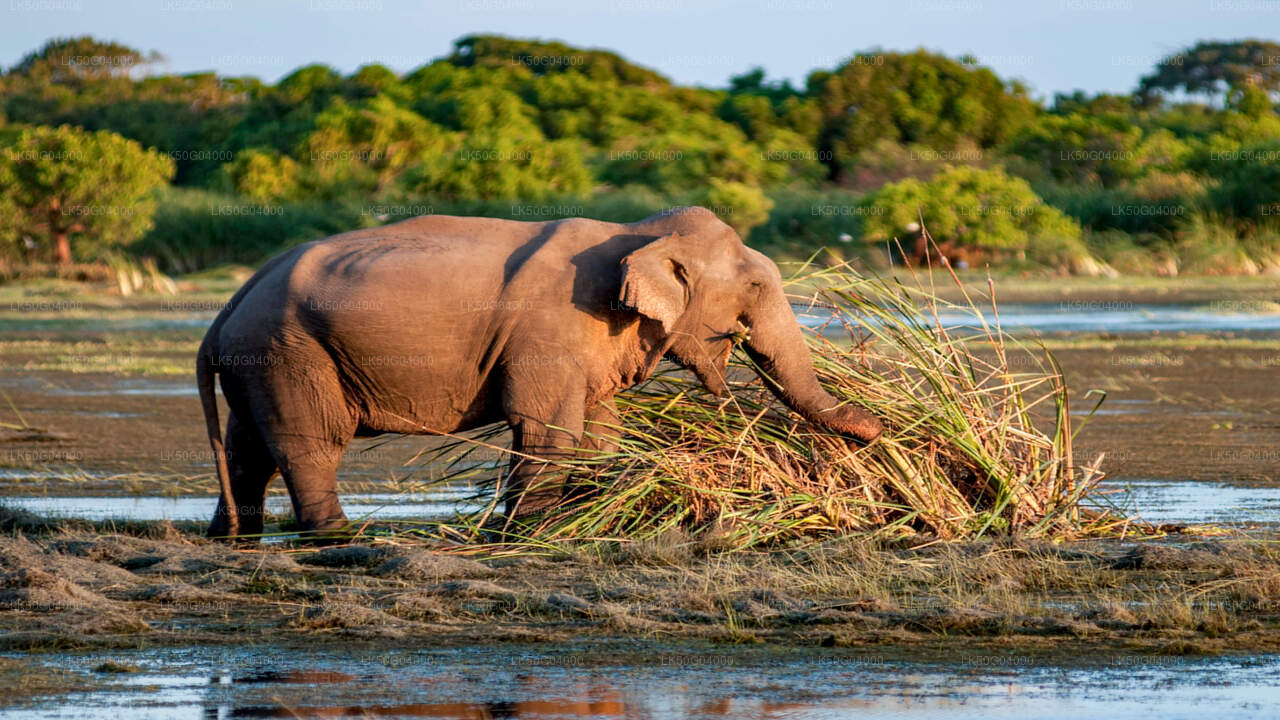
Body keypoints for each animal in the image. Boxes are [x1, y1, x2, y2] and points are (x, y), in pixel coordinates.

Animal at [197, 204, 880, 535]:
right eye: (758, 287)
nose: (883, 430)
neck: (639, 232)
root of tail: (229, 305)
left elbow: (599, 432)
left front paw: (592, 510)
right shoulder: (549, 329)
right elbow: (547, 431)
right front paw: (528, 530)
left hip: (260, 360)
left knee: (249, 449)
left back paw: (235, 535)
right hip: (288, 352)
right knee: (309, 443)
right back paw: (337, 536)